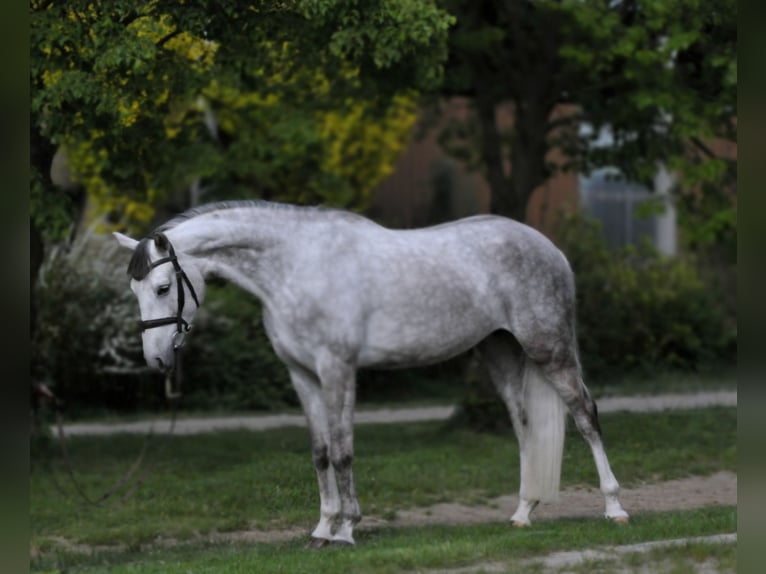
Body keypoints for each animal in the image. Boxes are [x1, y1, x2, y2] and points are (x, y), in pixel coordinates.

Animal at [113, 200, 628, 547]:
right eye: (135, 290)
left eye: (163, 287)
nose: (156, 360)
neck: (296, 265)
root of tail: (549, 248)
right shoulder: (302, 375)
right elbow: (321, 453)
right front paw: (321, 528)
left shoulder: (337, 369)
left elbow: (343, 452)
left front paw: (346, 531)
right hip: (500, 352)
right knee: (525, 428)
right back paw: (522, 513)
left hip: (549, 348)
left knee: (585, 415)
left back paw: (614, 508)